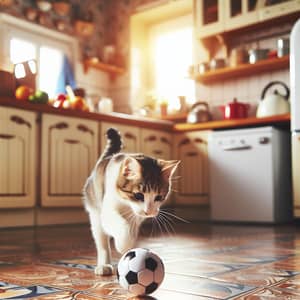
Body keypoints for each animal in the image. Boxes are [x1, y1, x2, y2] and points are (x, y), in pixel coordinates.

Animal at [82, 127, 178, 276]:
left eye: (158, 197)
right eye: (138, 195)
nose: (148, 211)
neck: (127, 205)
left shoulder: (137, 217)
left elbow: (132, 229)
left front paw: (130, 244)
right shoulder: (108, 210)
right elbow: (121, 225)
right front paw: (123, 245)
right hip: (95, 212)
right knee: (102, 241)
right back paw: (104, 265)